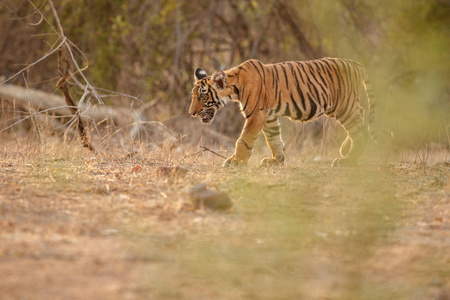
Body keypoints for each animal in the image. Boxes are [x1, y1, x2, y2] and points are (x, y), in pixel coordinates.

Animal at [190, 57, 376, 168]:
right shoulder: (269, 117)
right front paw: (276, 161)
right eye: (194, 95)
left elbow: (244, 139)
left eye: (202, 95)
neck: (234, 88)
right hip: (344, 107)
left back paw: (347, 159)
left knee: (361, 130)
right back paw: (346, 149)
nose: (191, 113)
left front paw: (236, 161)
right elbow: (274, 139)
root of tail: (355, 63)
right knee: (361, 120)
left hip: (344, 106)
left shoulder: (256, 114)